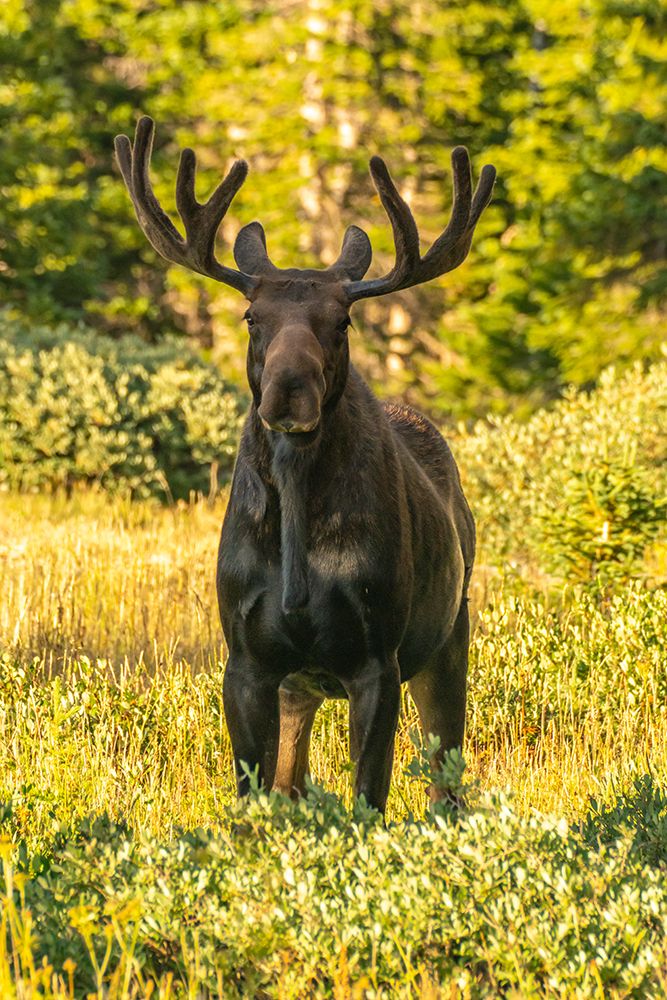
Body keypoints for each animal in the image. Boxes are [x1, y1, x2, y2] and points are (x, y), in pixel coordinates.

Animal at [115, 116, 496, 813]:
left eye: (342, 320)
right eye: (251, 316)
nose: (289, 389)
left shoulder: (378, 657)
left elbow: (368, 800)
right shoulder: (246, 658)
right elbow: (254, 799)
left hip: (450, 636)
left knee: (445, 787)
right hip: (302, 687)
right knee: (293, 779)